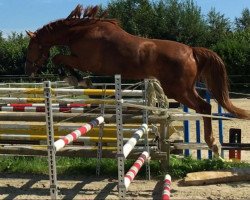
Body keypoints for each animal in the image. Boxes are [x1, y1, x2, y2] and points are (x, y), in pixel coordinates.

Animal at [24, 5, 249, 158]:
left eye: (30, 47)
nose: (29, 71)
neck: (81, 31)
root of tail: (192, 51)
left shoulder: (86, 61)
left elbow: (59, 58)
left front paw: (76, 79)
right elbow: (60, 59)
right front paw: (79, 80)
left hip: (178, 89)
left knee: (204, 106)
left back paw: (213, 144)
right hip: (182, 89)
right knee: (205, 107)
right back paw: (214, 145)